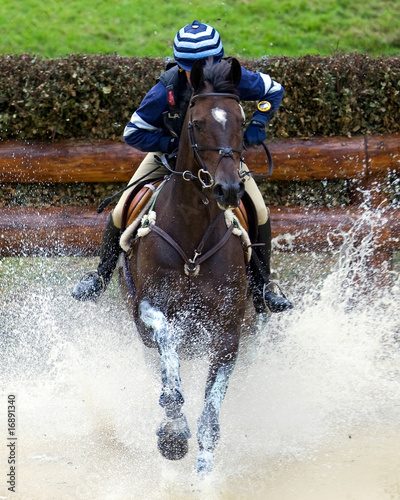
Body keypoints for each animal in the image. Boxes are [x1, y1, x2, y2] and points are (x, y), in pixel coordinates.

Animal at [120, 56, 255, 474]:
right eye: (195, 124)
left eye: (241, 121)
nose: (229, 189)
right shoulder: (148, 309)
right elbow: (167, 342)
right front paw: (173, 430)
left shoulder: (228, 332)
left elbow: (211, 416)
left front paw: (204, 476)